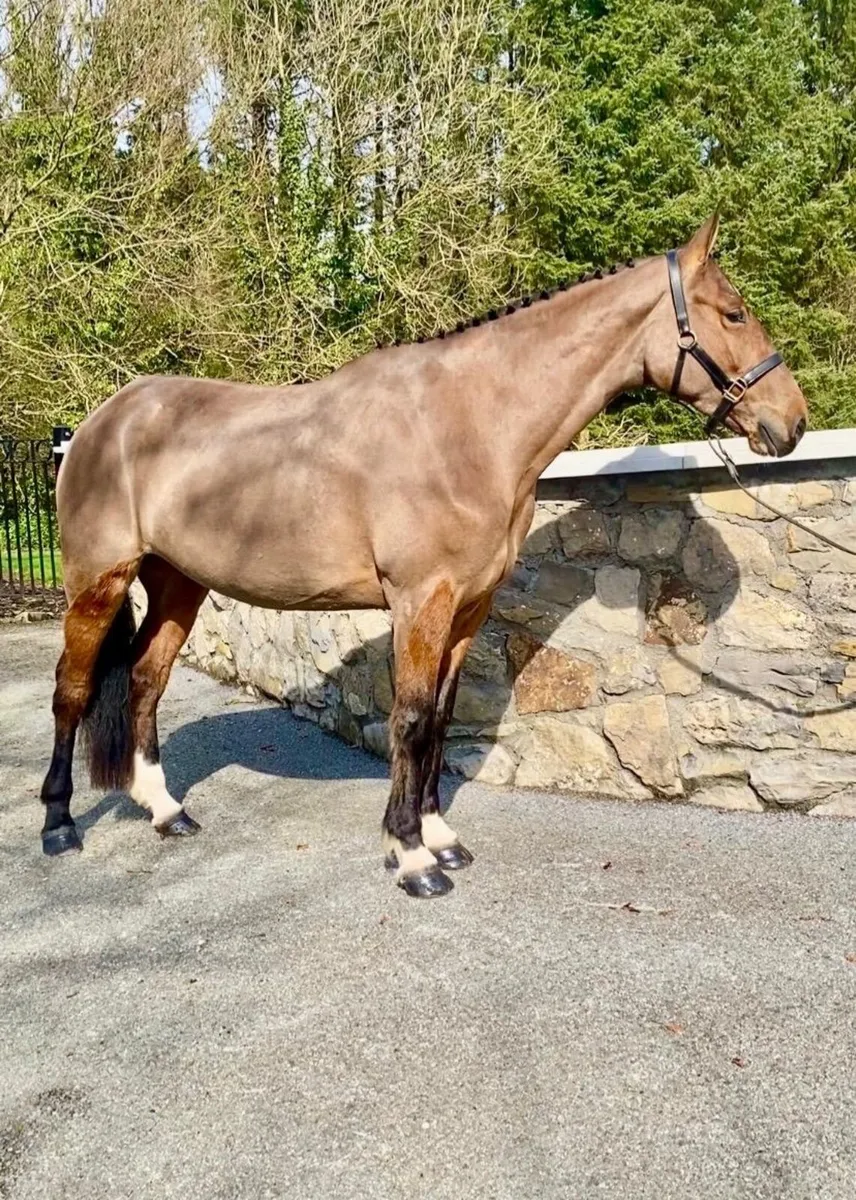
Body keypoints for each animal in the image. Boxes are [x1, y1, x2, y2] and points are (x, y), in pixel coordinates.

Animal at [39, 214, 807, 897]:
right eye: (733, 313)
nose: (791, 422)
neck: (469, 426)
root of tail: (101, 423)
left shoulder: (469, 608)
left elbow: (440, 716)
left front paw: (441, 839)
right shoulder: (420, 601)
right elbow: (408, 721)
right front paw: (411, 858)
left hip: (178, 585)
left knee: (145, 680)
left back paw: (166, 811)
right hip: (98, 583)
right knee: (72, 691)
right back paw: (58, 825)